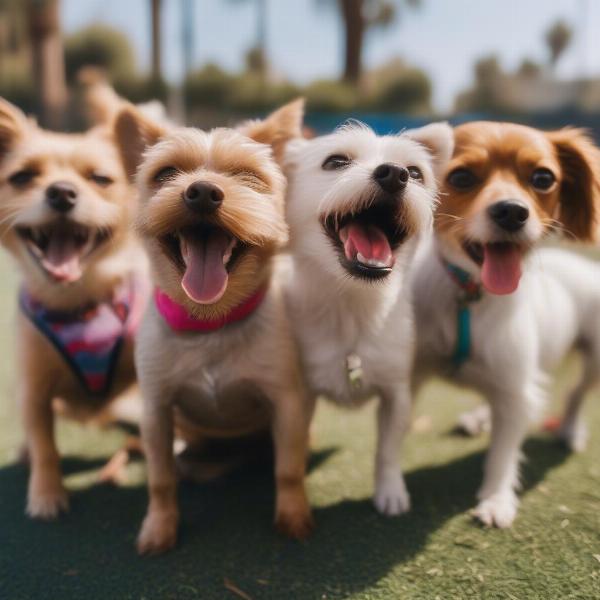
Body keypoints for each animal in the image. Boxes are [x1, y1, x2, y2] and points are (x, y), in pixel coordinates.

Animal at [0, 88, 149, 516]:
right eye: (22, 177)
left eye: (100, 179)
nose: (61, 192)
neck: (80, 301)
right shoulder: (33, 391)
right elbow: (45, 444)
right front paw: (47, 495)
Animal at [115, 98, 316, 552]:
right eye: (166, 173)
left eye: (248, 176)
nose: (202, 191)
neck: (211, 323)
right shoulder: (156, 411)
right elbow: (160, 480)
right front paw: (160, 528)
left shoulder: (286, 404)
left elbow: (288, 470)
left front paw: (293, 517)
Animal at [284, 119, 452, 512]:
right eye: (335, 161)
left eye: (416, 173)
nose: (395, 174)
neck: (353, 306)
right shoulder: (300, 394)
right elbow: (294, 445)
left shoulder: (396, 394)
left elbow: (388, 449)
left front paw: (390, 492)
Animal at [412, 120, 600, 524]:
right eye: (462, 177)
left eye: (543, 178)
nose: (512, 212)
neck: (469, 297)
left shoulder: (517, 390)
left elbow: (504, 451)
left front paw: (496, 500)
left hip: (595, 362)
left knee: (575, 393)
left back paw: (570, 429)